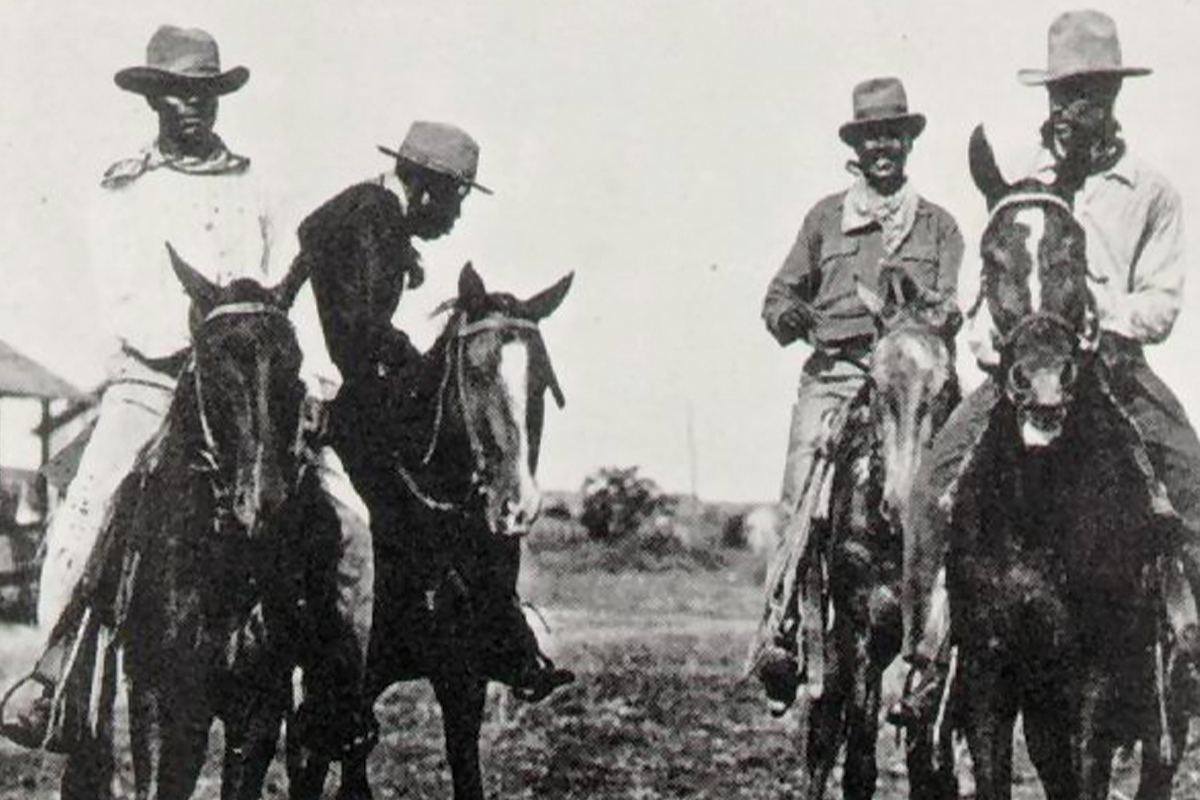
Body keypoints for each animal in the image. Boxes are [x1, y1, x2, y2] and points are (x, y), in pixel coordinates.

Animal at [792, 271, 960, 800]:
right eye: (873, 382)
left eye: (945, 386)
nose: (902, 506)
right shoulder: (860, 626)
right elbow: (859, 760)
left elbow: (927, 752)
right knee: (824, 733)